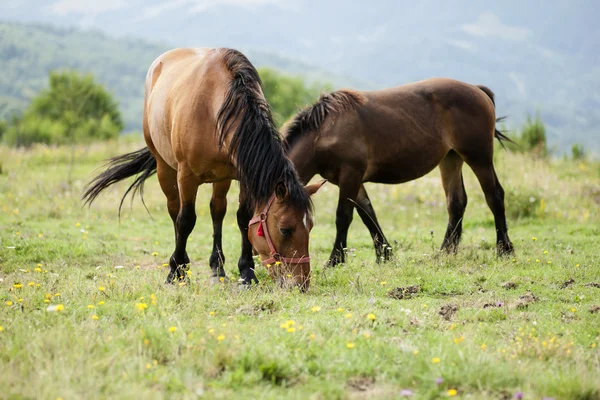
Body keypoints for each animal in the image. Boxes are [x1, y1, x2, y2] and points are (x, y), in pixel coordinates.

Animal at [82, 48, 326, 290]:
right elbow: (186, 220)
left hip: (221, 178)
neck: (214, 107)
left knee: (217, 210)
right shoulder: (186, 176)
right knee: (175, 211)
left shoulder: (243, 175)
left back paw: (217, 268)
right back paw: (180, 264)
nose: (301, 283)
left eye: (311, 226)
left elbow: (243, 217)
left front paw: (246, 272)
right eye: (286, 229)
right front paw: (176, 273)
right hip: (164, 167)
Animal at [282, 77, 516, 266]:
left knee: (494, 196)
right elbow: (368, 215)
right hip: (451, 159)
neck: (324, 132)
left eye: (287, 229)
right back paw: (444, 253)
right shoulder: (350, 180)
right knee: (456, 202)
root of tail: (477, 90)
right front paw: (385, 255)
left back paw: (504, 250)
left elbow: (343, 217)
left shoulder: (350, 175)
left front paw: (334, 260)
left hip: (479, 158)